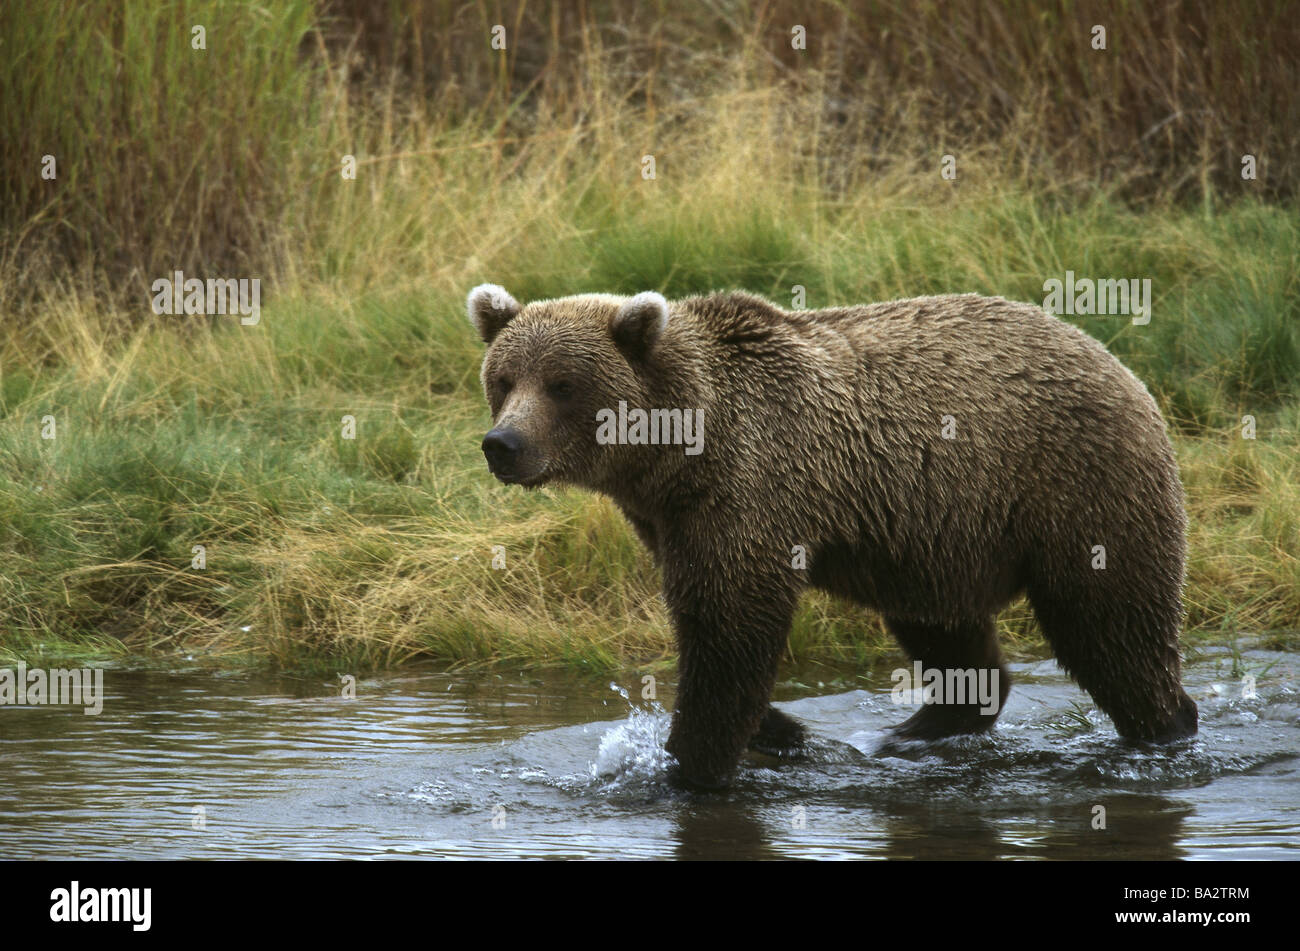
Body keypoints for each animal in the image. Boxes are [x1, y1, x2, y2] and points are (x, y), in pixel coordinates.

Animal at [467, 281, 1196, 789]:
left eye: (562, 384)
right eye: (503, 379)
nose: (503, 443)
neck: (678, 450)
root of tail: (1119, 364)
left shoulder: (747, 488)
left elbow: (731, 626)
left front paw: (691, 763)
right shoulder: (668, 518)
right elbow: (710, 622)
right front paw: (783, 730)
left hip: (1076, 487)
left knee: (1111, 625)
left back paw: (1163, 730)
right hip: (935, 531)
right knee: (944, 625)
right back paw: (919, 729)